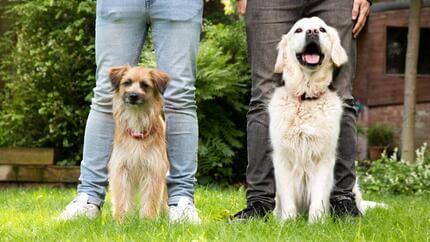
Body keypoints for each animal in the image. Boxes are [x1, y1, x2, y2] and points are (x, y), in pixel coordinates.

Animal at [106, 65, 170, 220]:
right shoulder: (121, 168)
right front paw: (121, 219)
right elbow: (122, 197)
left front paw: (148, 220)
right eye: (127, 82)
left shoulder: (154, 169)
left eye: (145, 85)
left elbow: (151, 198)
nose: (133, 96)